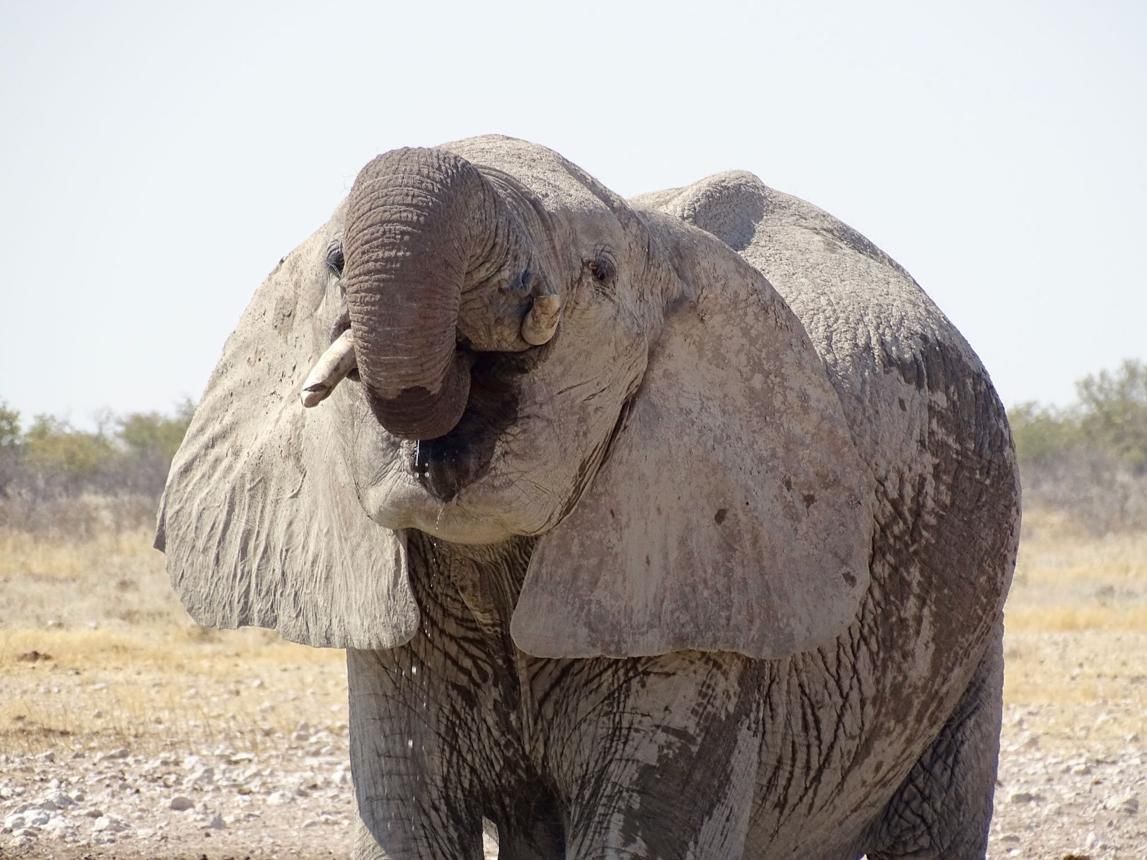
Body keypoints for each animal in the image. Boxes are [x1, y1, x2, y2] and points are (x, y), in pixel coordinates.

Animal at [156, 135, 1020, 859]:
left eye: (599, 271)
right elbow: (407, 821)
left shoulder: (701, 581)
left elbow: (642, 833)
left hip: (967, 632)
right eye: (334, 261)